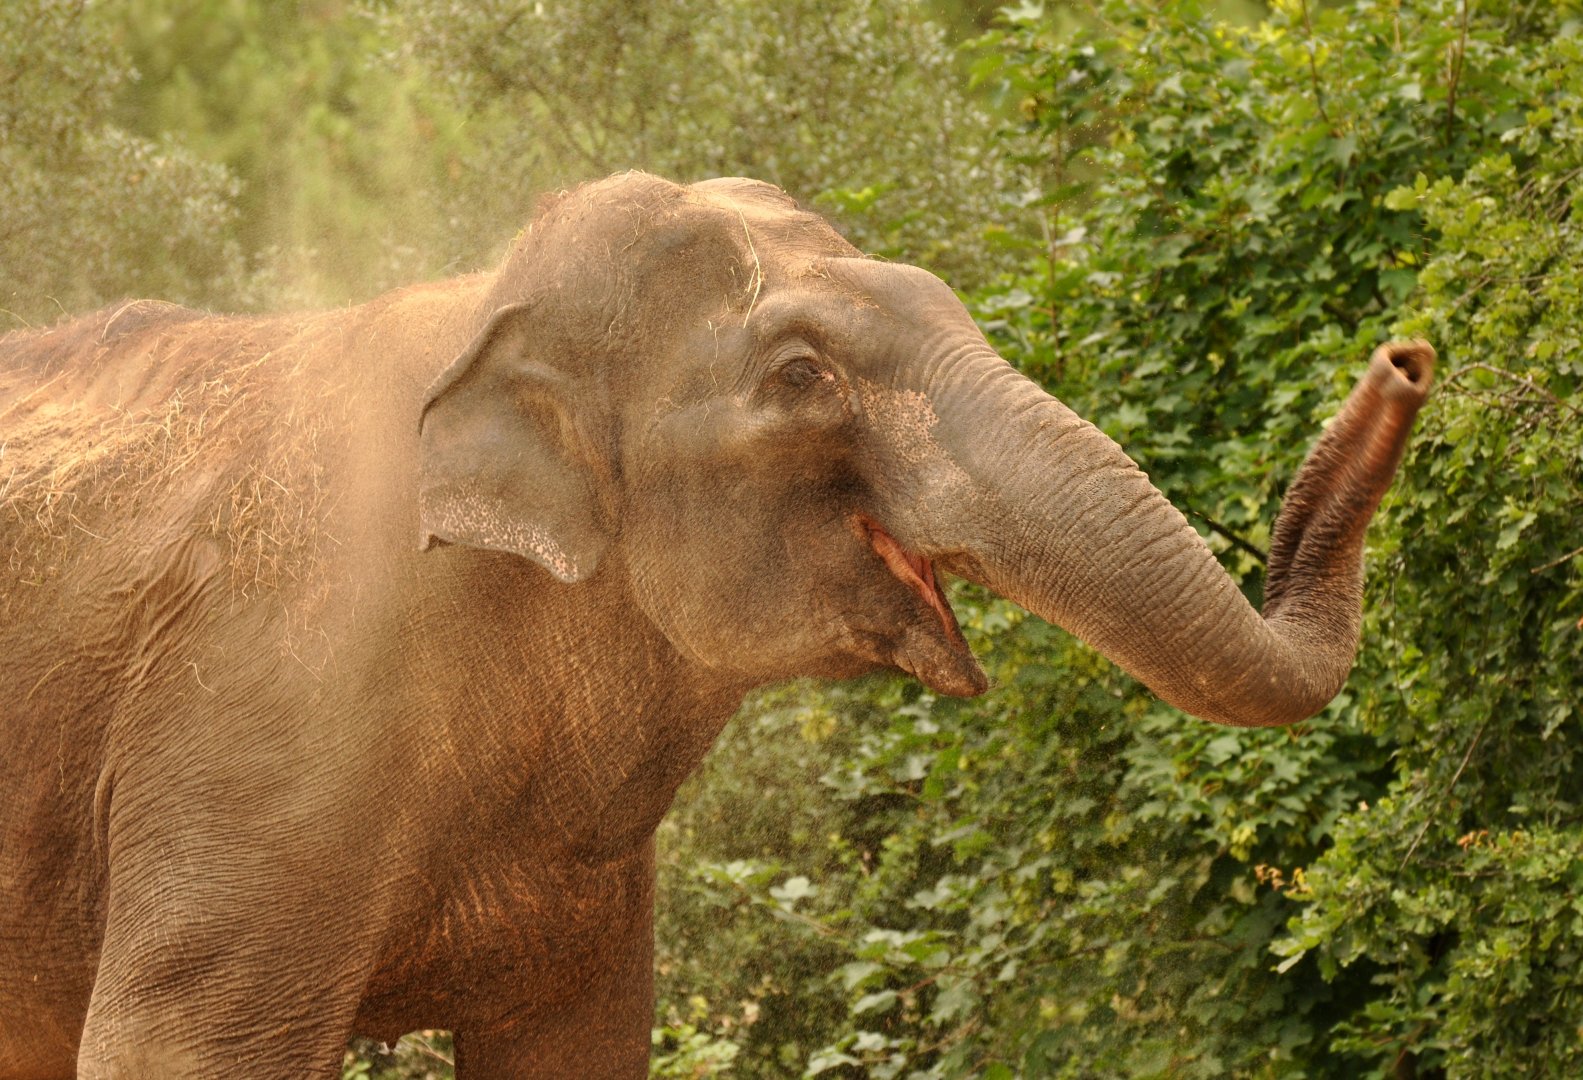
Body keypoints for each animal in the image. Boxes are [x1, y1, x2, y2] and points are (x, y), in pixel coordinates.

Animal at [0, 172, 1432, 1078]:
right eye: (799, 376)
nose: (1405, 357)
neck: (485, 306)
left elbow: (577, 1052)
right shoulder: (263, 711)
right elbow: (175, 1054)